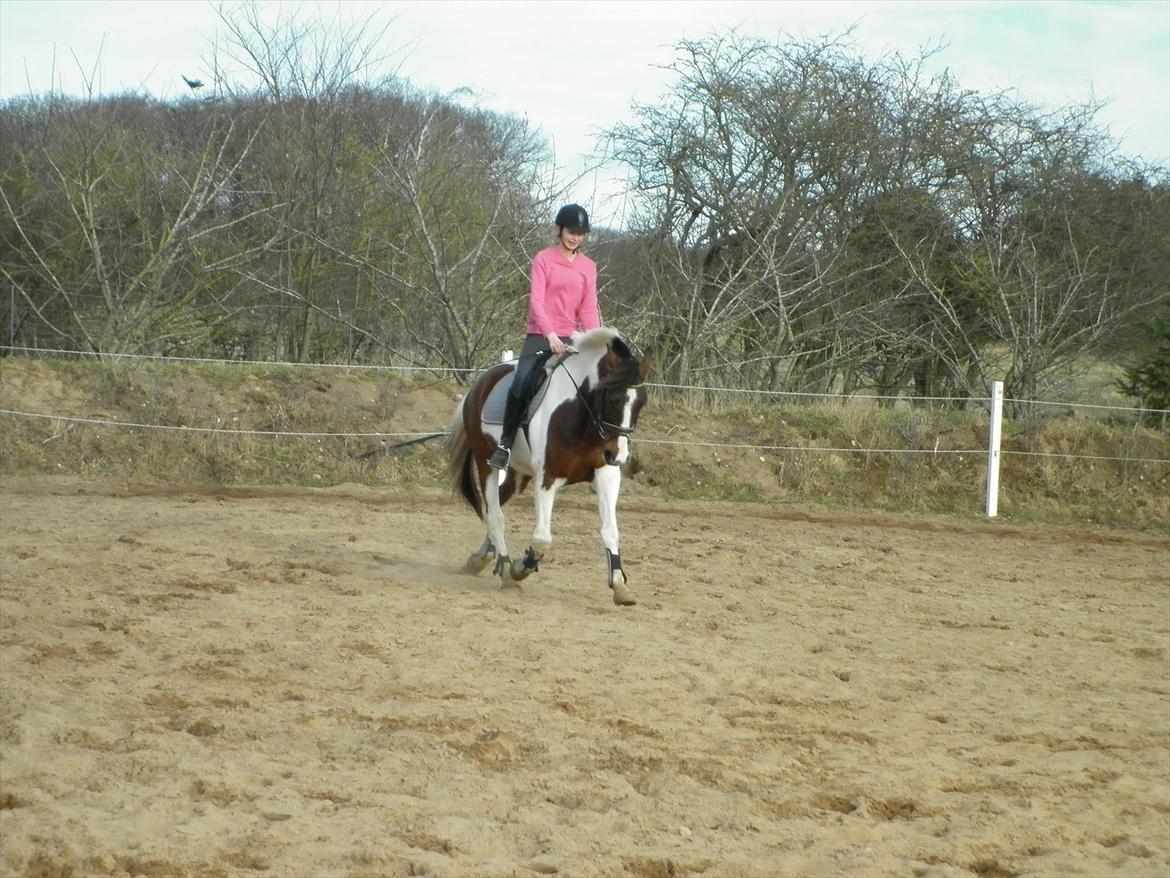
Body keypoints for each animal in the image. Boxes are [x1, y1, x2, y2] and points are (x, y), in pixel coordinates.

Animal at [444, 327, 650, 608]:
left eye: (642, 402)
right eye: (613, 398)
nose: (618, 455)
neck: (581, 416)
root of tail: (481, 381)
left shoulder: (606, 474)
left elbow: (610, 530)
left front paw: (619, 585)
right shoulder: (548, 477)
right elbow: (542, 539)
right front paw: (521, 567)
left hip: (519, 474)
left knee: (497, 505)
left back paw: (481, 558)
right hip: (487, 461)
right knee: (495, 514)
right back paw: (505, 570)